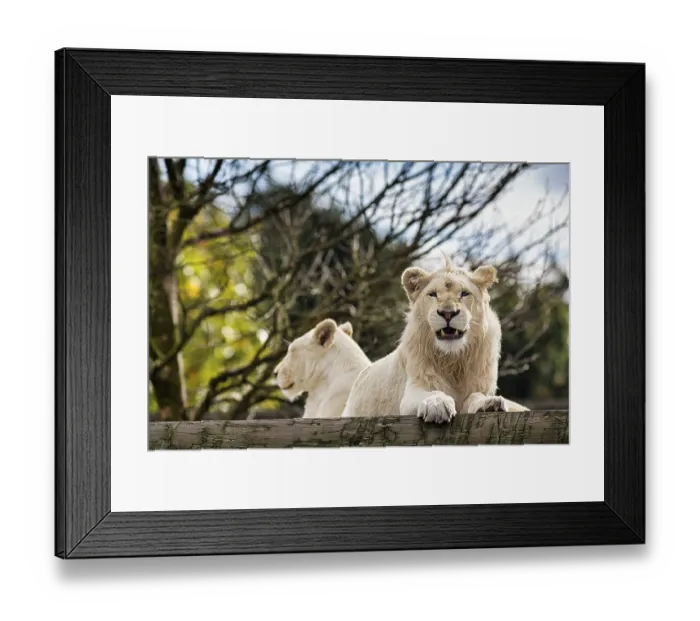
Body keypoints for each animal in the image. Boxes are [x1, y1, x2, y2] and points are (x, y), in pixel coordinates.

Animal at [341, 260, 528, 423]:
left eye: (464, 293)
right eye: (432, 294)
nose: (447, 312)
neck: (454, 361)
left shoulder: (478, 386)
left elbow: (476, 396)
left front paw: (488, 404)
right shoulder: (413, 389)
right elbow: (431, 393)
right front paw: (437, 405)